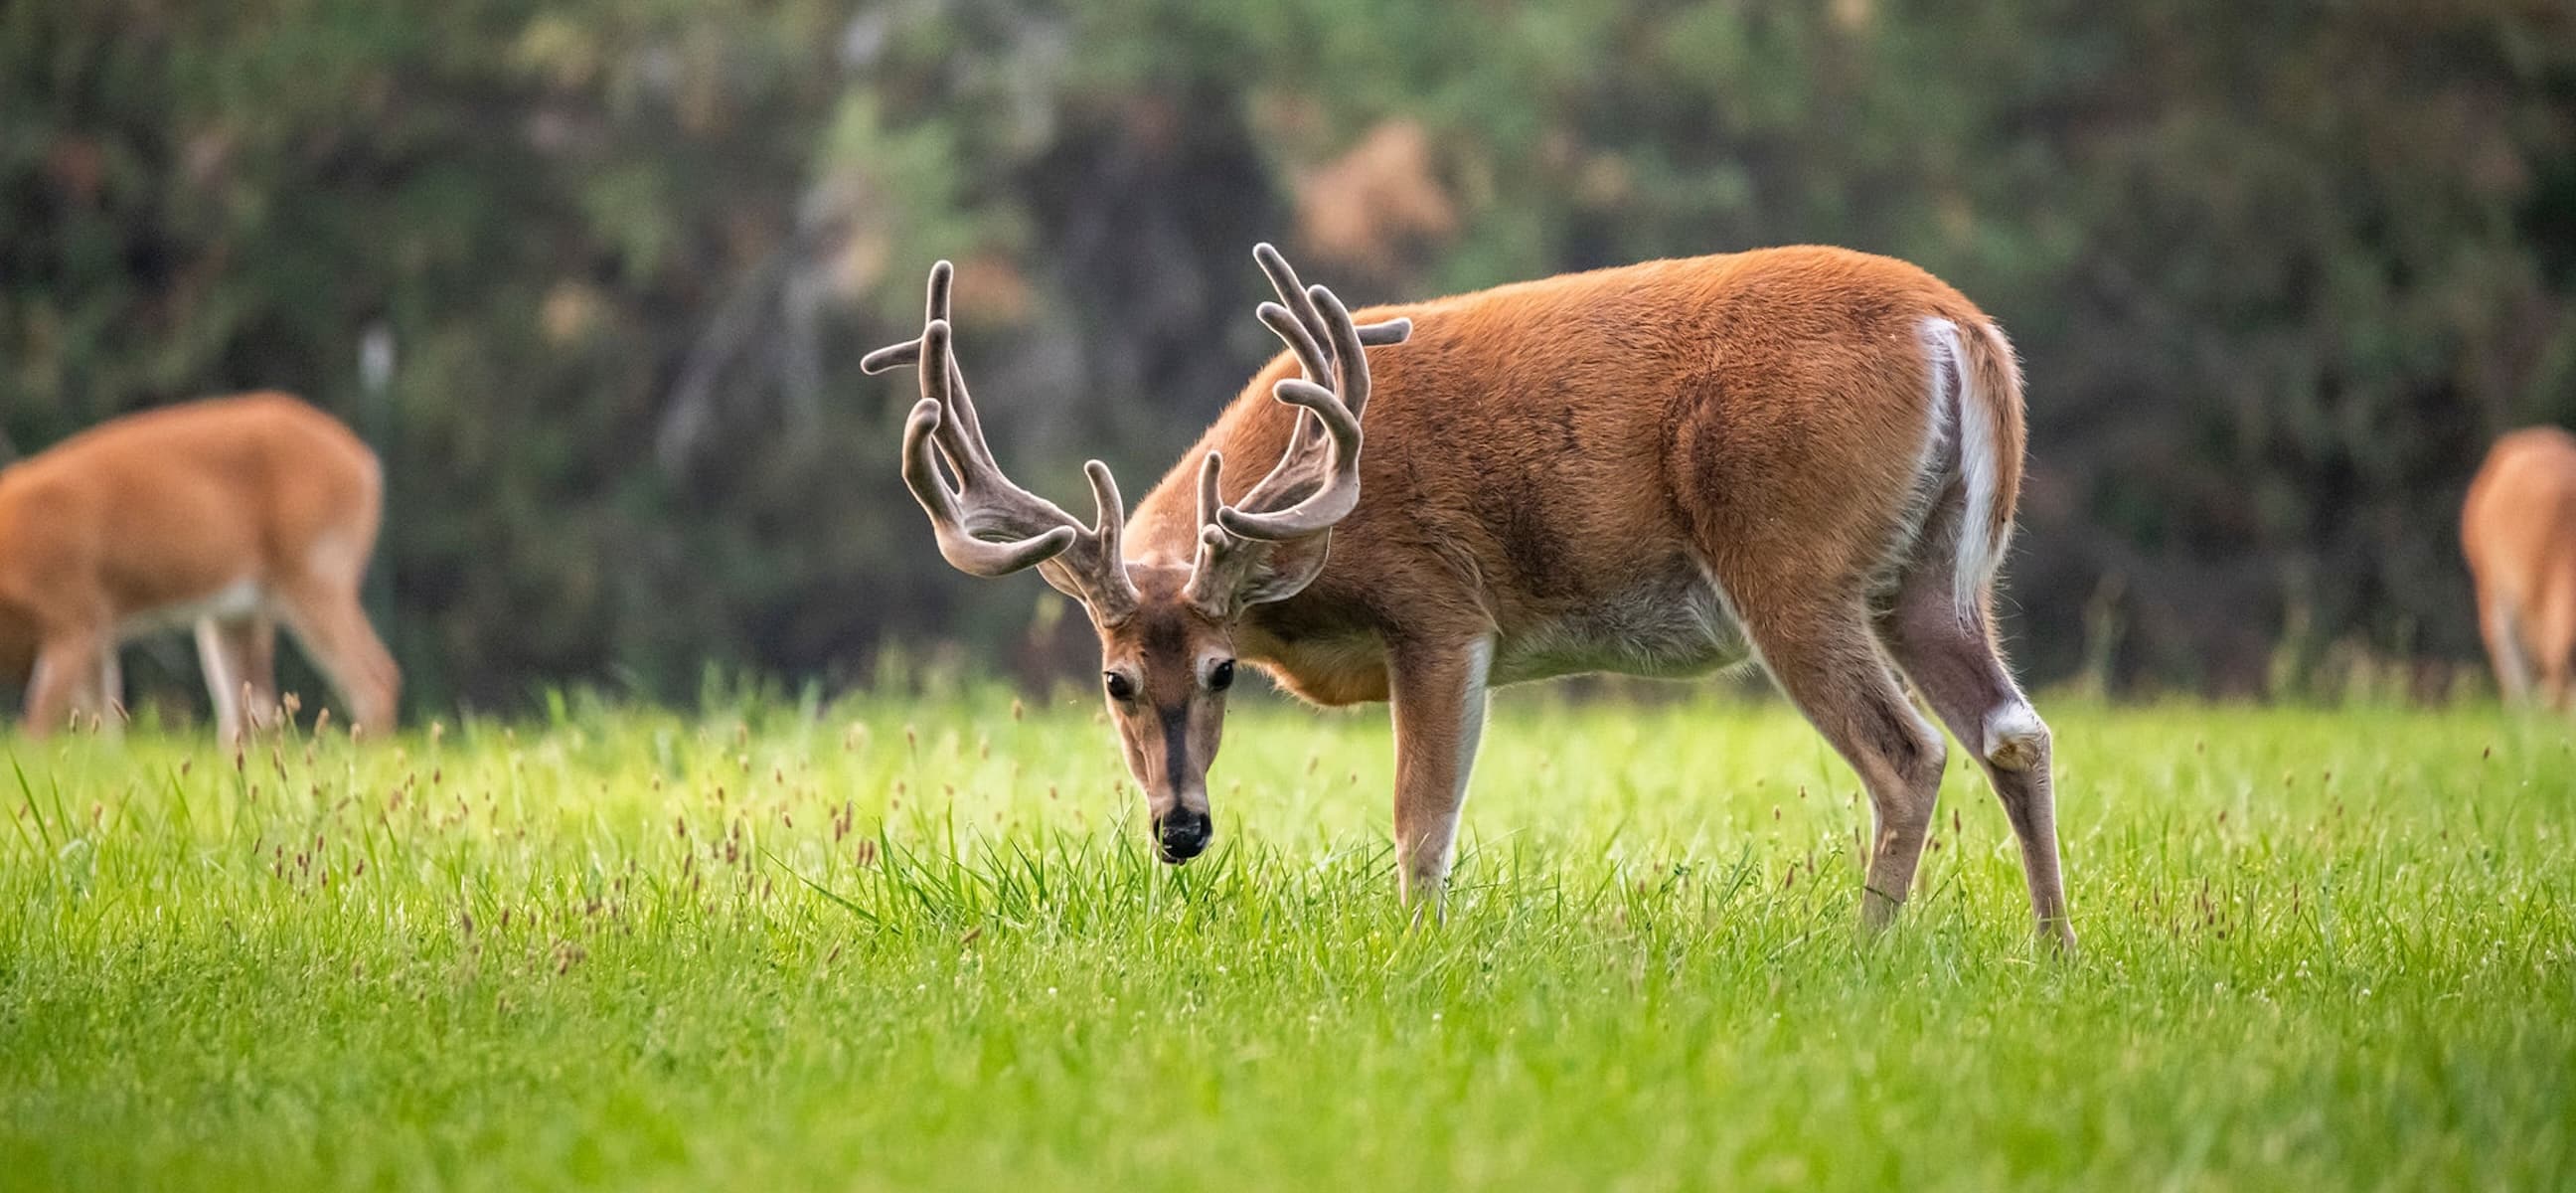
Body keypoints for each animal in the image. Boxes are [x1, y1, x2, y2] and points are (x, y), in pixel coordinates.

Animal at [0, 397, 399, 742]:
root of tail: (365, 463)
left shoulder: (74, 615)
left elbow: (38, 721)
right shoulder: (96, 630)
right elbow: (103, 721)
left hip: (314, 571)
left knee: (374, 678)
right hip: (237, 610)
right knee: (249, 708)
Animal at [865, 245, 2070, 952]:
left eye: (1220, 670)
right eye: (1114, 681)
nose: (1181, 828)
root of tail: (1958, 331)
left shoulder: (1442, 611)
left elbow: (1422, 822)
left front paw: (1416, 958)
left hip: (1791, 559)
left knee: (1909, 754)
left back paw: (1862, 955)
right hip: (1936, 571)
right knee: (2014, 730)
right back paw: (2053, 952)